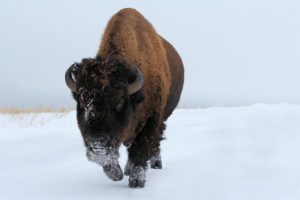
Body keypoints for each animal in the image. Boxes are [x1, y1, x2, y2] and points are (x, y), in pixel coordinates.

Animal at [64, 7, 184, 188]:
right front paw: (118, 173)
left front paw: (137, 180)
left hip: (163, 117)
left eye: (119, 101)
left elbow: (141, 146)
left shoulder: (151, 119)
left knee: (156, 141)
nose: (96, 141)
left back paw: (155, 164)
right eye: (83, 102)